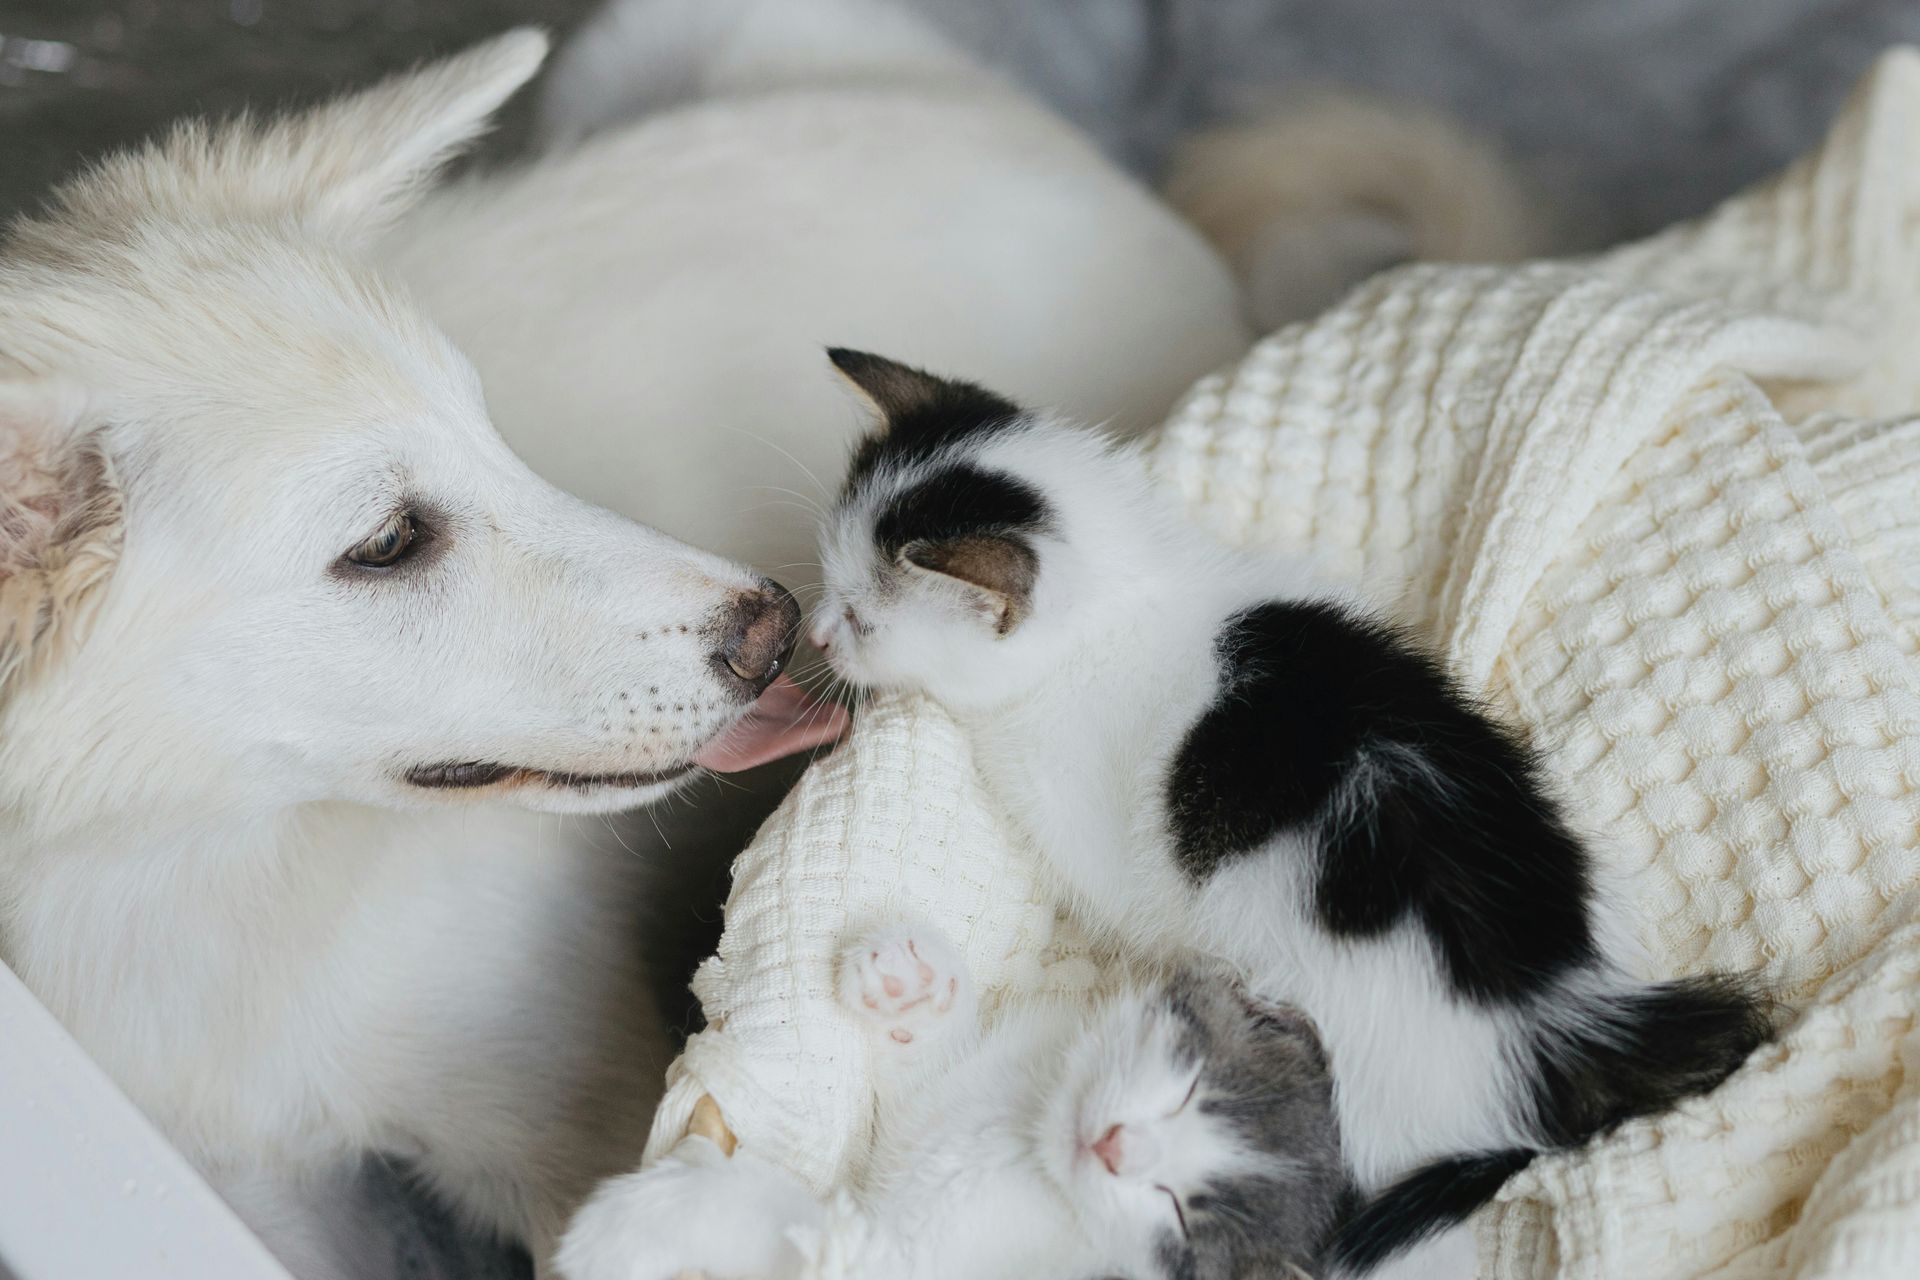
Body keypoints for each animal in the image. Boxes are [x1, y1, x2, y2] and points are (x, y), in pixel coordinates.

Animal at [0, 5, 1251, 1274]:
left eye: (491, 431)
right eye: (389, 540)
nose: (774, 630)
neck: (186, 867)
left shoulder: (570, 1109)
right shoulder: (246, 1186)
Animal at [560, 921, 1351, 1280]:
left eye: (1182, 1219)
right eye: (1190, 1083)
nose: (1116, 1147)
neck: (1028, 1129)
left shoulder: (896, 1262)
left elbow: (796, 1222)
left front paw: (638, 1217)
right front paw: (913, 992)